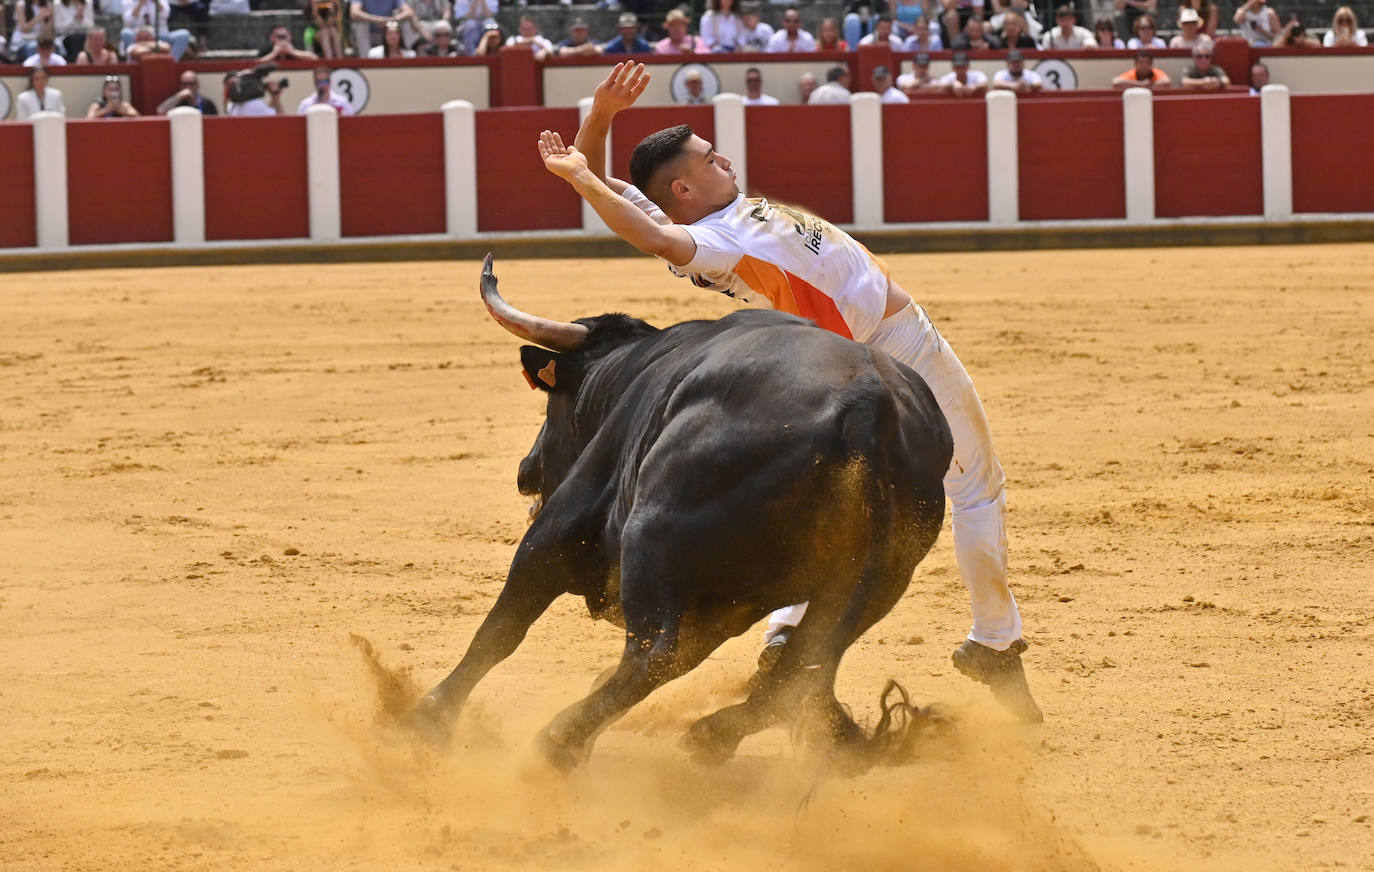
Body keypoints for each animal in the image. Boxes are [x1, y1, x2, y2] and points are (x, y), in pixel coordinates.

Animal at [401, 258, 950, 769]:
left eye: (554, 405)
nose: (526, 470)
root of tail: (868, 407)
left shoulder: (562, 523)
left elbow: (502, 626)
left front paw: (429, 714)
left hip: (654, 535)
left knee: (655, 653)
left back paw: (559, 740)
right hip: (876, 580)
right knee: (804, 664)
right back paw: (716, 735)